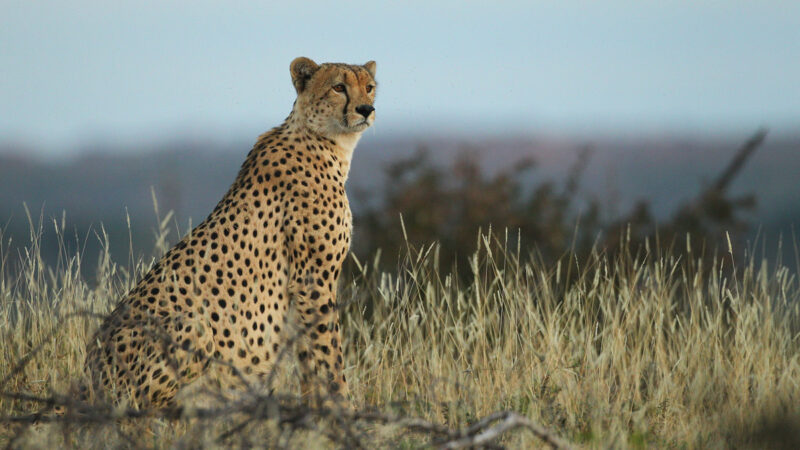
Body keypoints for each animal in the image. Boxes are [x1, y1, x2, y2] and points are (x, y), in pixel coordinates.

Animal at [83, 57, 376, 408]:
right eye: (338, 87)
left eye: (369, 86)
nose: (366, 109)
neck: (326, 141)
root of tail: (86, 375)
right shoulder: (313, 279)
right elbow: (329, 353)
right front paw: (343, 407)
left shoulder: (304, 286)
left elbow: (310, 357)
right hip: (191, 325)